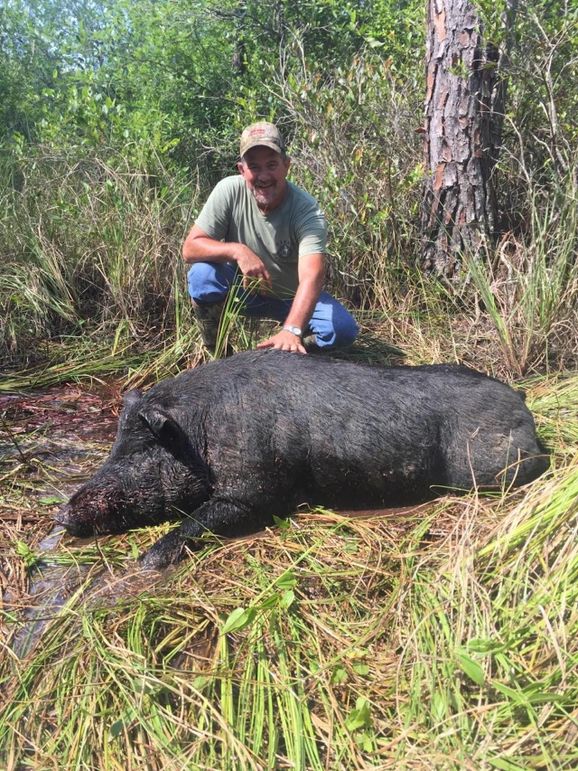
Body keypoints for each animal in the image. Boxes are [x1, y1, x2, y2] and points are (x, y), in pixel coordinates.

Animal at [55, 350, 548, 569]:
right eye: (112, 448)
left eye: (138, 451)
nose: (61, 515)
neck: (202, 430)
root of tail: (523, 406)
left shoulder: (253, 491)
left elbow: (198, 520)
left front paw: (146, 561)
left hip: (495, 467)